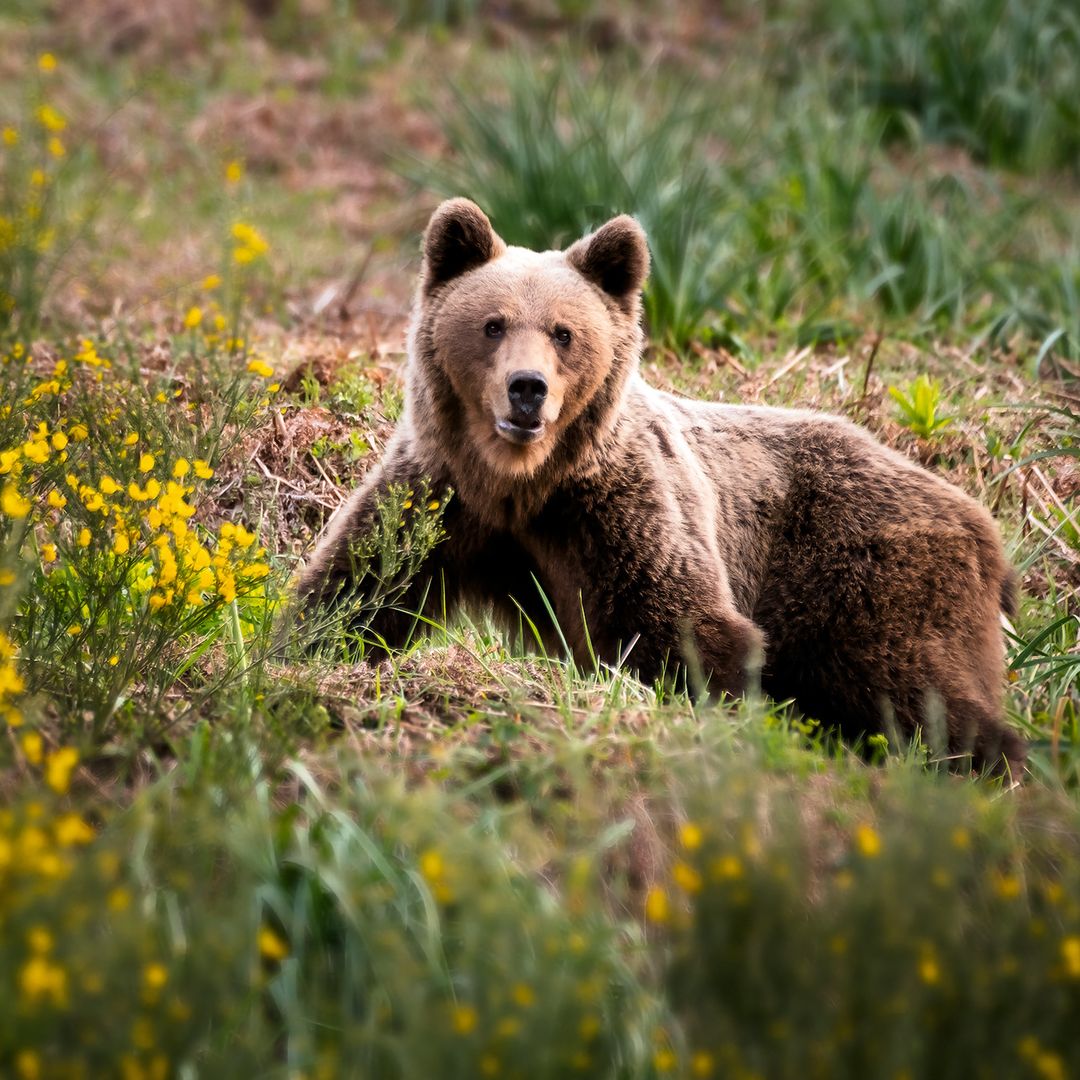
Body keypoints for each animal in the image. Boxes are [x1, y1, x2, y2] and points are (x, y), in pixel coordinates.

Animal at [297, 197, 1026, 777]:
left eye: (564, 332)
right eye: (492, 324)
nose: (527, 389)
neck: (523, 485)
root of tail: (984, 525)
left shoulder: (622, 509)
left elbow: (682, 622)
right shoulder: (441, 501)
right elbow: (358, 587)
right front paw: (307, 656)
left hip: (863, 573)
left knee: (918, 686)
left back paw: (989, 762)